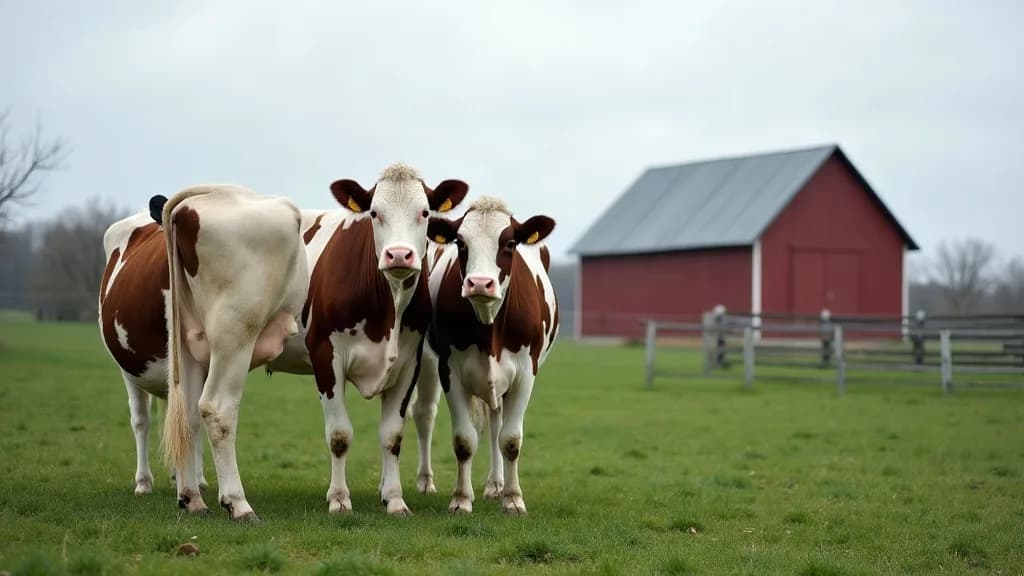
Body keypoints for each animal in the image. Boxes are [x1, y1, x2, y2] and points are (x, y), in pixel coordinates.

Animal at [273, 163, 468, 516]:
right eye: (375, 213)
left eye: (424, 212)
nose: (399, 255)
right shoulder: (326, 356)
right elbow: (339, 435)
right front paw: (339, 498)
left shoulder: (408, 363)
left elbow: (392, 436)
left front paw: (394, 499)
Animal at [420, 196, 558, 515]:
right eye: (460, 242)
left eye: (509, 243)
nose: (480, 283)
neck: (489, 326)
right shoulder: (450, 371)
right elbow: (464, 440)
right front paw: (461, 499)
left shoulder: (525, 374)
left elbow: (510, 439)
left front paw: (513, 498)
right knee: (425, 416)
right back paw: (426, 481)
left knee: (496, 425)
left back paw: (496, 485)